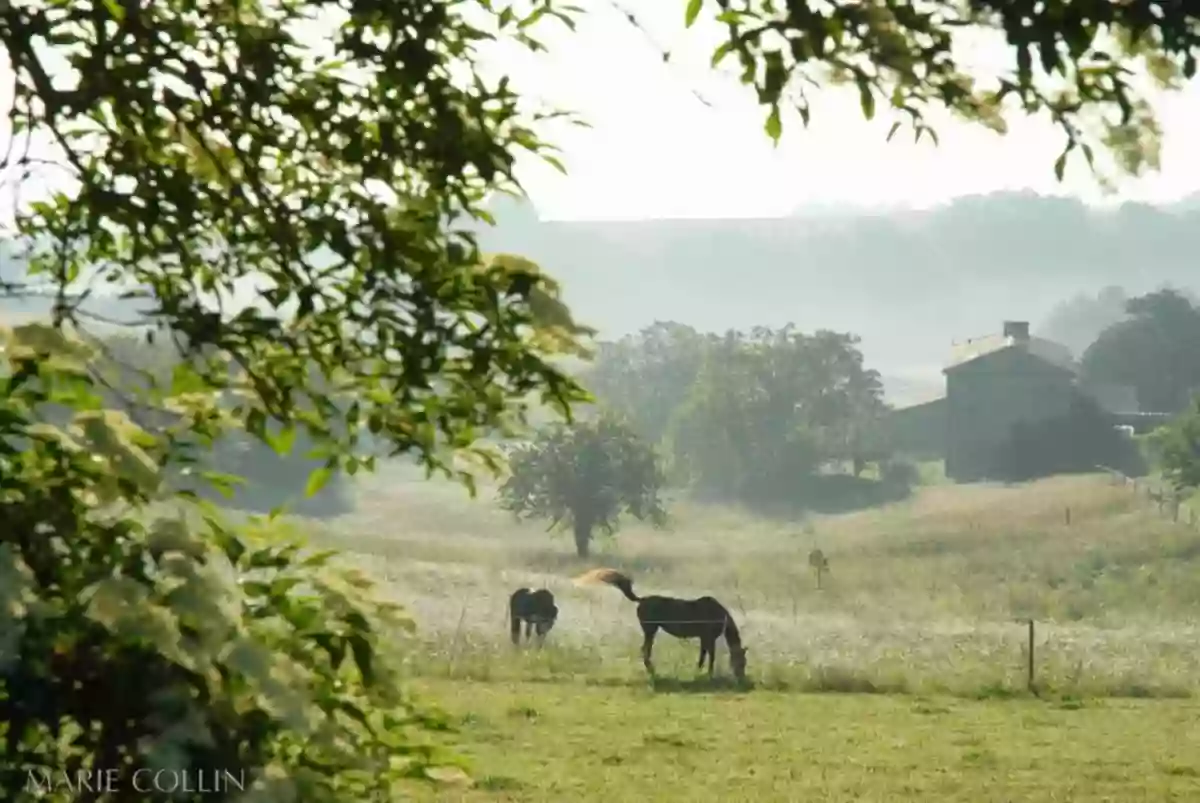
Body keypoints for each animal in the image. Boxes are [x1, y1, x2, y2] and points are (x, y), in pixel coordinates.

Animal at [573, 566, 748, 681]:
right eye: (741, 661)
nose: (741, 677)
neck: (719, 614)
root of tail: (641, 600)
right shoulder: (709, 638)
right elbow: (710, 656)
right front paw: (709, 674)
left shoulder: (704, 638)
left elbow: (703, 655)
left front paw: (699, 671)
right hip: (651, 630)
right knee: (645, 649)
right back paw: (652, 672)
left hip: (651, 630)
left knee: (646, 650)